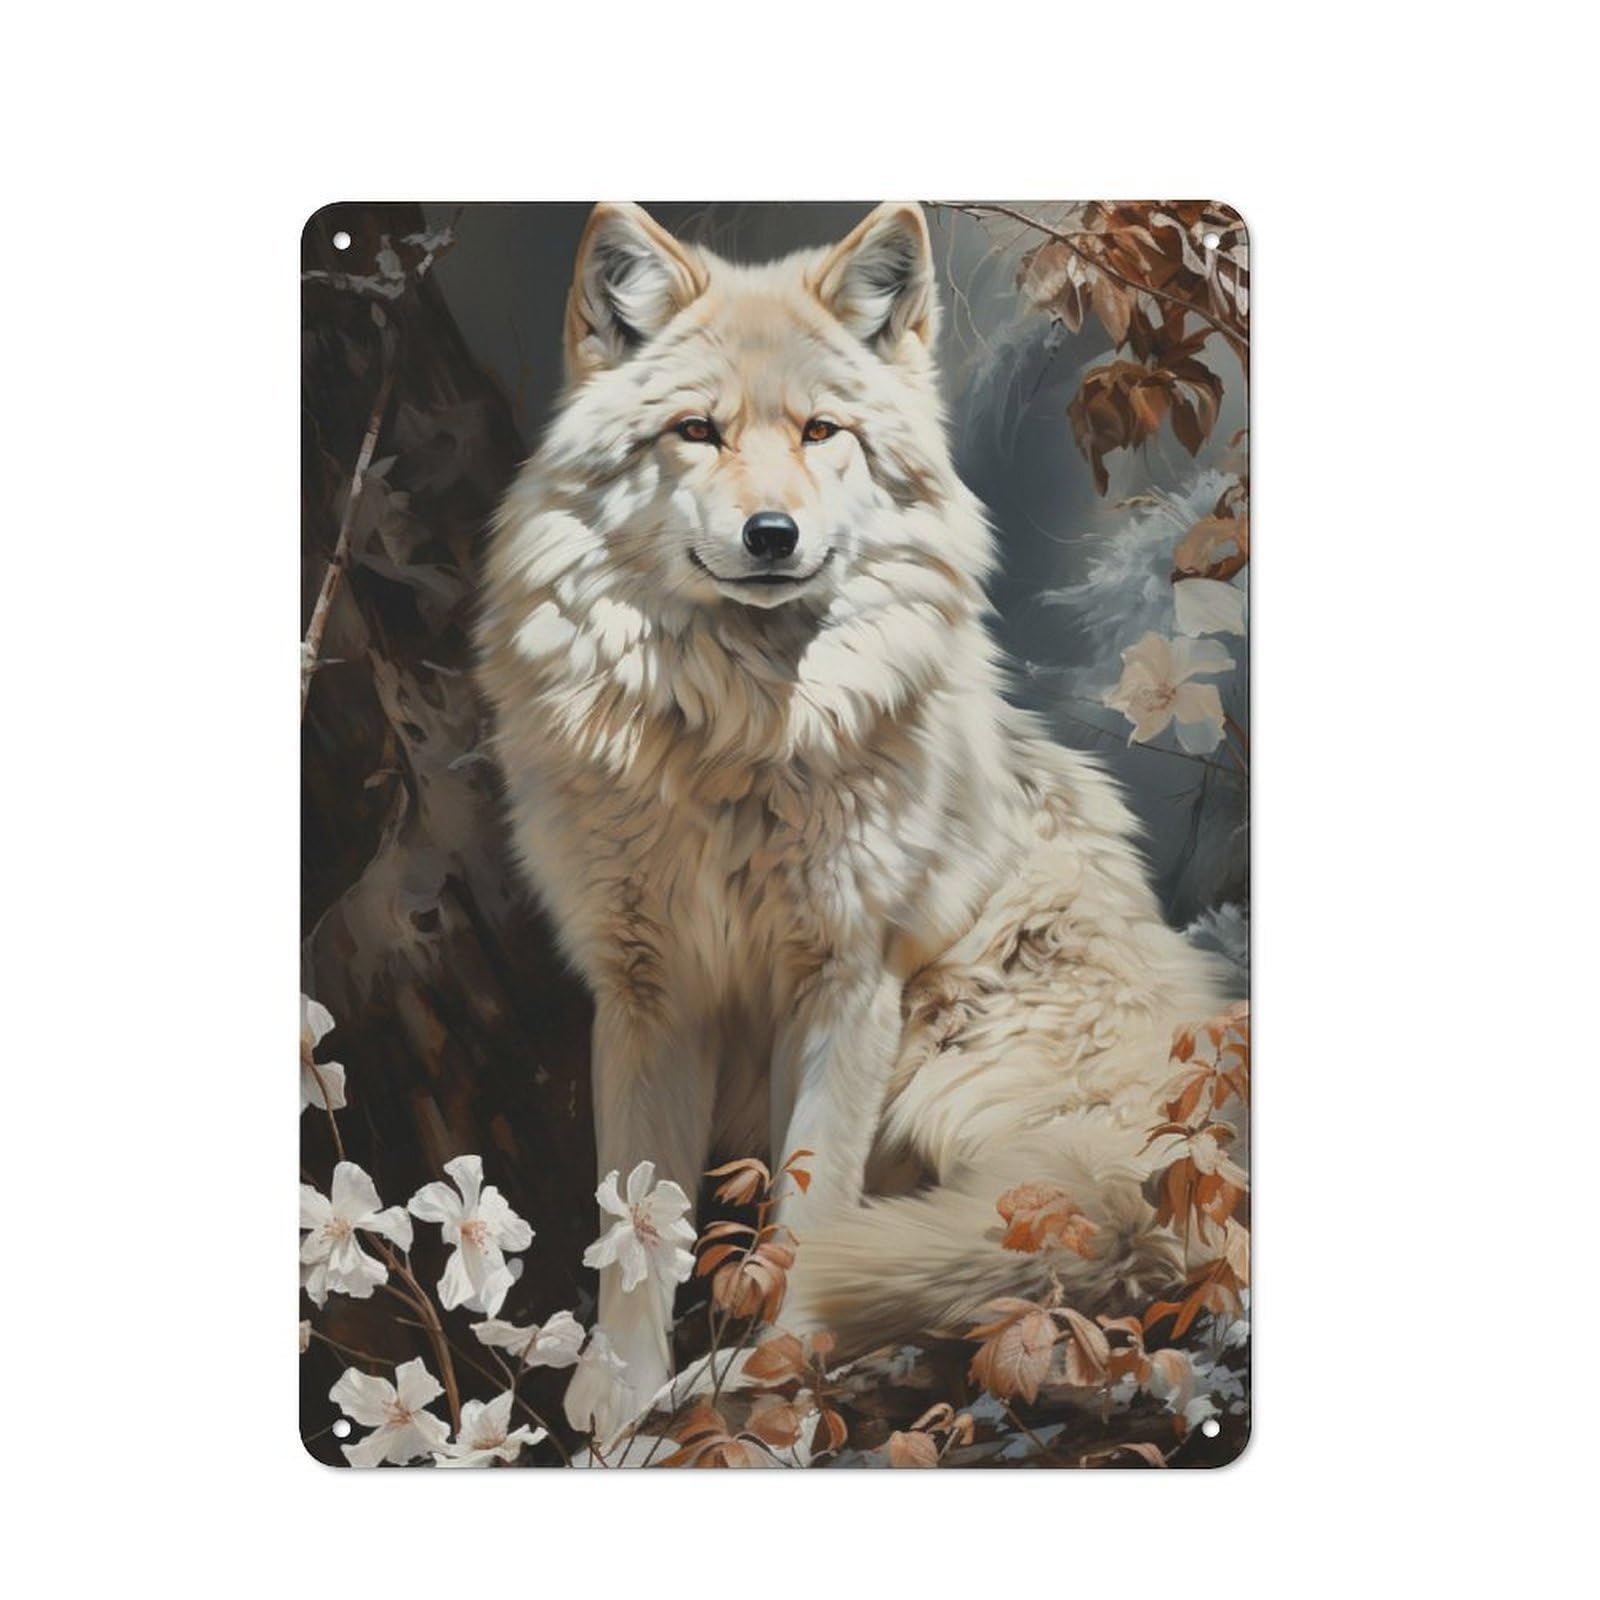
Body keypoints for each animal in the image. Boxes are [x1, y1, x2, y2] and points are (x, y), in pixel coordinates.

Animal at [476, 201, 1229, 1439]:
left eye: (821, 430)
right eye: (697, 430)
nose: (772, 533)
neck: (737, 739)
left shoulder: (848, 981)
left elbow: (810, 1215)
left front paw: (771, 1378)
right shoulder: (646, 996)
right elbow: (635, 1226)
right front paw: (620, 1405)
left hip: (962, 1036)